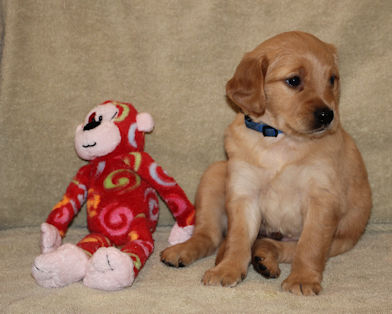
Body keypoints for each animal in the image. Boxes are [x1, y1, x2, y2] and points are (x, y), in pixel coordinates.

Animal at [160, 30, 370, 296]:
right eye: (293, 80)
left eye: (332, 79)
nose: (327, 115)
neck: (280, 138)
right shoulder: (244, 193)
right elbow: (238, 239)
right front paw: (227, 269)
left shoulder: (322, 199)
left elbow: (310, 246)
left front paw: (303, 279)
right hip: (215, 173)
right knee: (210, 236)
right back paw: (183, 251)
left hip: (340, 241)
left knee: (279, 246)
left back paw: (265, 261)